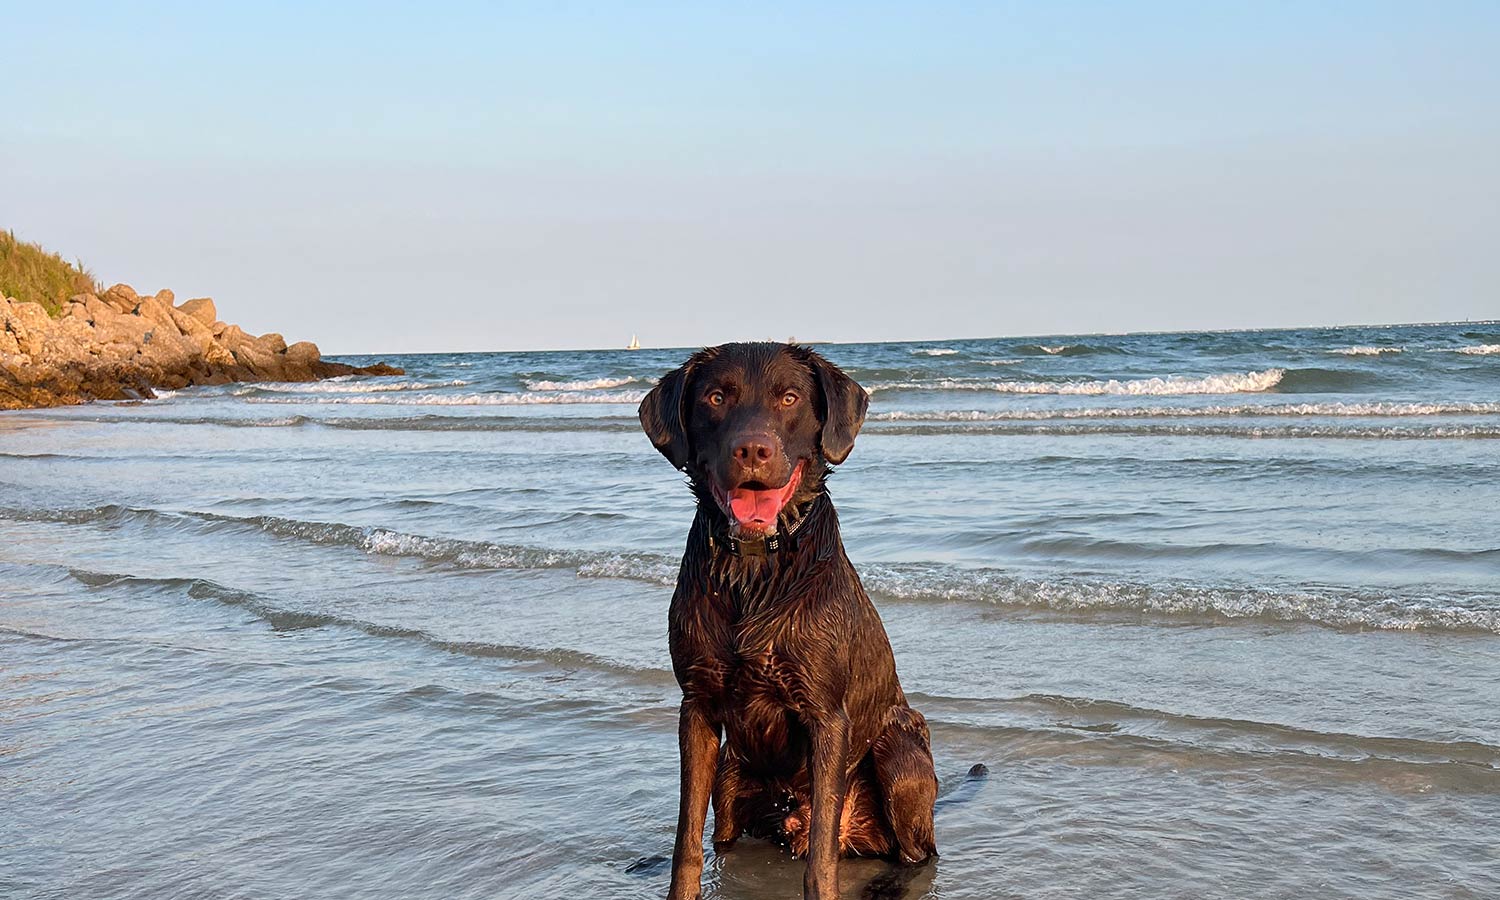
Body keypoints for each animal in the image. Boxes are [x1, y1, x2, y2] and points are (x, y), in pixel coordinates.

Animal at [636, 340, 936, 894]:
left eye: (790, 397)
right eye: (716, 397)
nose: (753, 451)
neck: (754, 570)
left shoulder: (827, 718)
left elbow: (820, 859)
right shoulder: (697, 707)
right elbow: (686, 838)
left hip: (900, 754)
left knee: (917, 853)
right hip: (730, 776)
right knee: (722, 838)